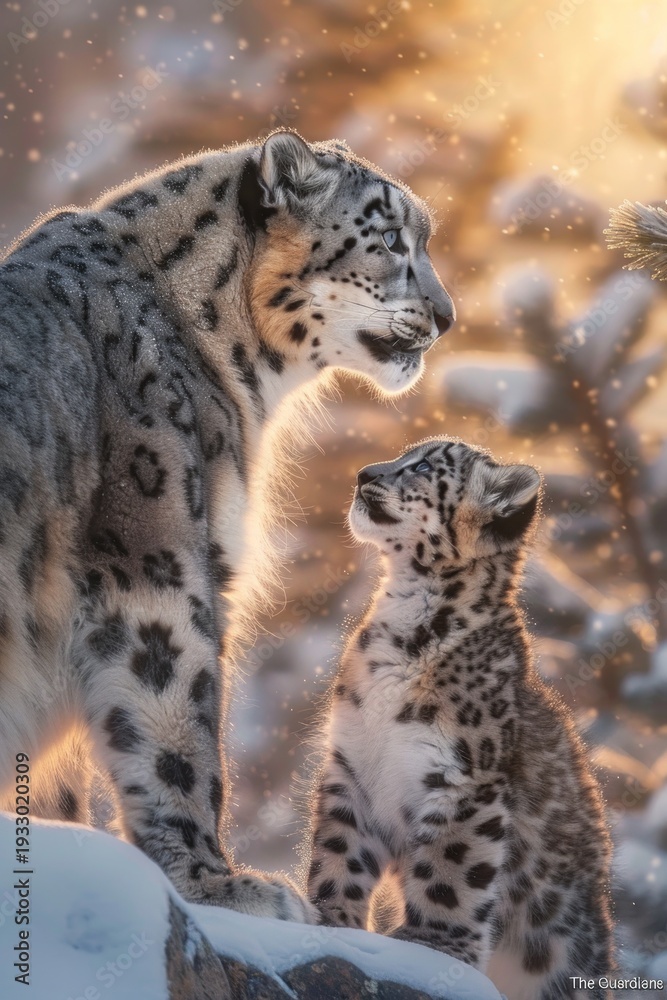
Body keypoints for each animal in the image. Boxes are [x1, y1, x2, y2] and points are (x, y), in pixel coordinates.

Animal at [306, 437, 613, 997]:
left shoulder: (464, 778)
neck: (402, 613)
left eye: (425, 465)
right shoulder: (353, 765)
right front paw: (329, 916)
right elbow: (340, 848)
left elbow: (451, 867)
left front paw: (433, 946)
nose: (363, 473)